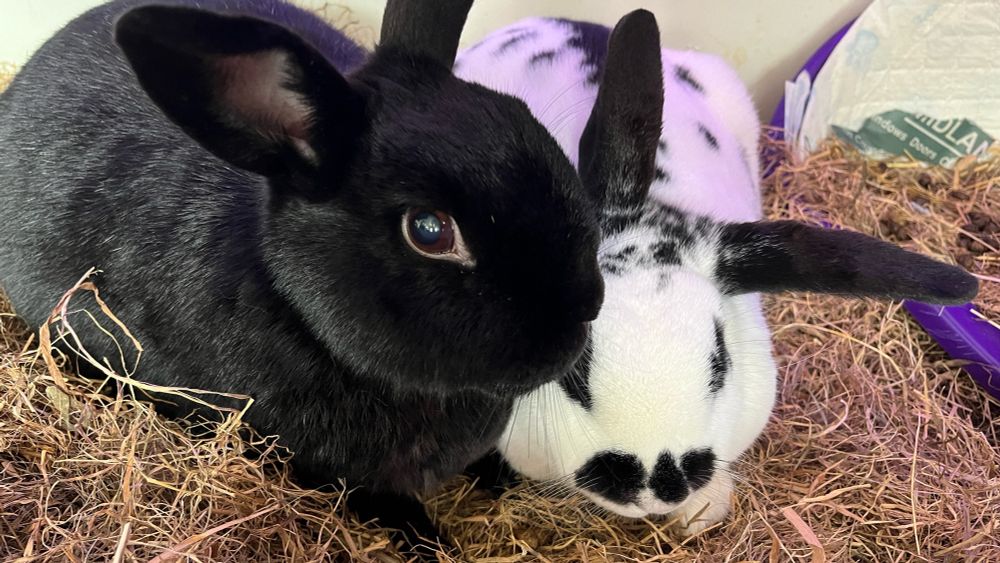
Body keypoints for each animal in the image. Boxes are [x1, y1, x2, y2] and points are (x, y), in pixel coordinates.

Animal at [0, 0, 629, 551]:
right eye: (429, 230)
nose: (587, 306)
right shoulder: (311, 462)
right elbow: (379, 499)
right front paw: (426, 539)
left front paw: (505, 478)